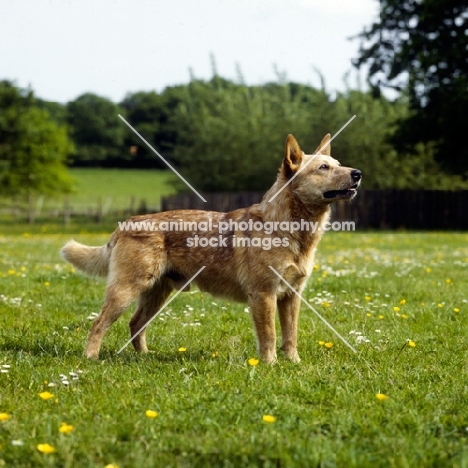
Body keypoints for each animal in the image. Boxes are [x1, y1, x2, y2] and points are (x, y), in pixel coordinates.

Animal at [61, 135, 362, 362]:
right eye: (323, 168)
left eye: (337, 164)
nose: (358, 173)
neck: (290, 230)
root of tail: (125, 224)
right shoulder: (263, 294)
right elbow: (269, 336)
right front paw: (271, 365)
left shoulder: (291, 295)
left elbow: (291, 336)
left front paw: (294, 364)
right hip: (127, 289)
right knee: (99, 323)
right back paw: (90, 358)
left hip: (157, 293)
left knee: (136, 324)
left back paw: (145, 357)